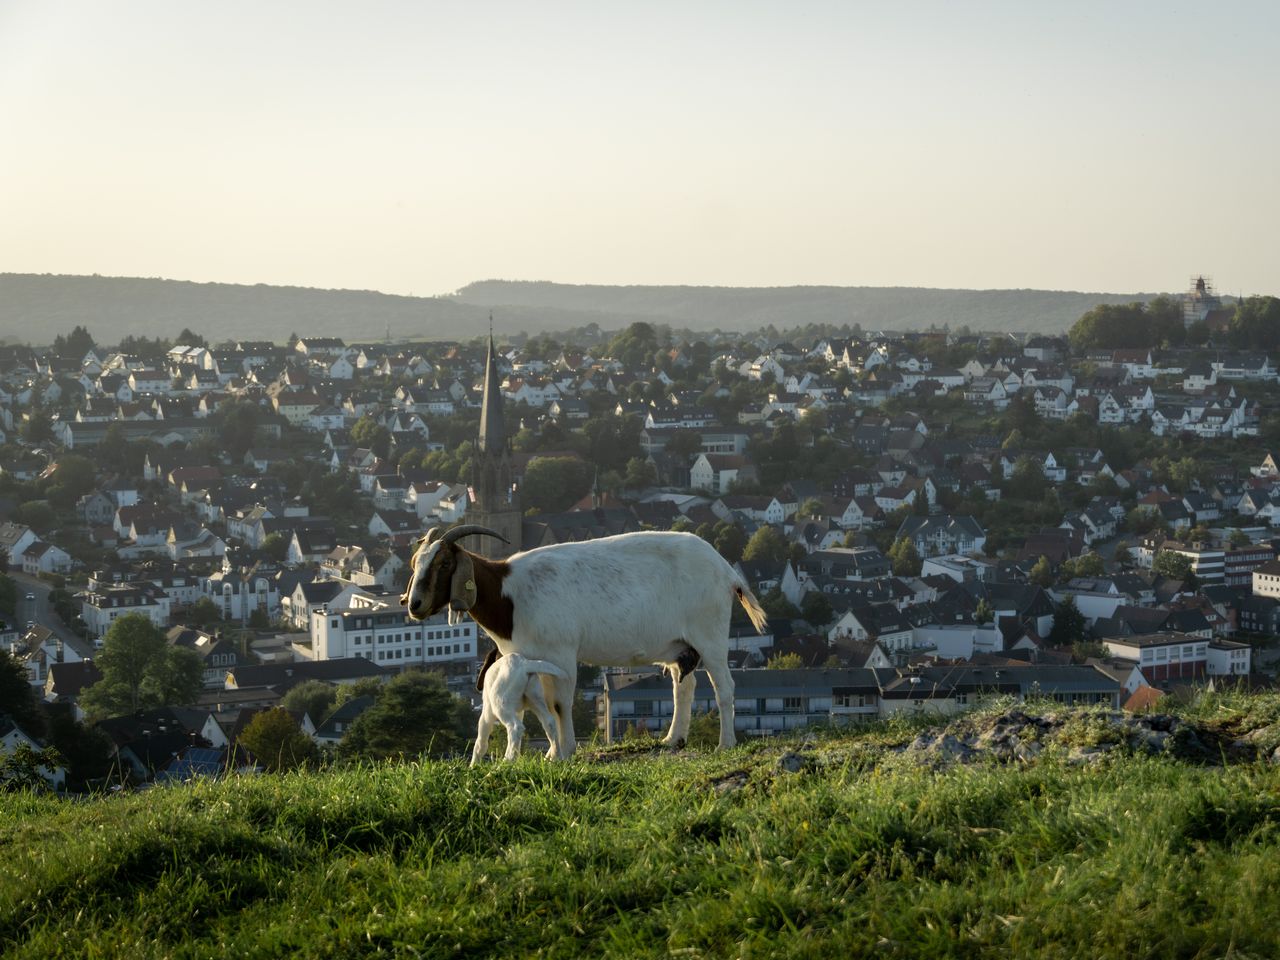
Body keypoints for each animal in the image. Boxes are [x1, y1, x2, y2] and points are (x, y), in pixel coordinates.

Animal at [399, 522, 762, 762]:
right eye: (416, 563)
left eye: (445, 563)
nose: (414, 604)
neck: (509, 595)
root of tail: (726, 571)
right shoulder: (530, 659)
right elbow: (544, 706)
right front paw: (553, 751)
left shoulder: (560, 653)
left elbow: (560, 704)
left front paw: (564, 752)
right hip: (679, 644)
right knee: (683, 685)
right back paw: (673, 738)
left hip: (710, 634)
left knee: (723, 687)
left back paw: (725, 744)